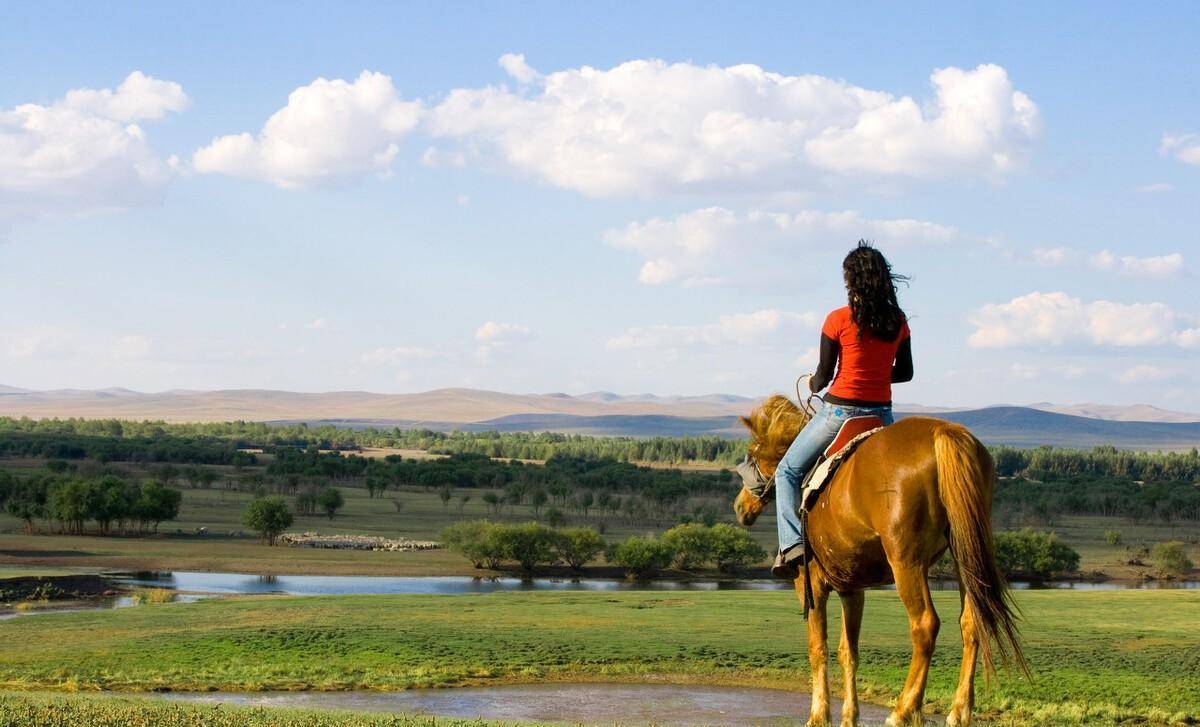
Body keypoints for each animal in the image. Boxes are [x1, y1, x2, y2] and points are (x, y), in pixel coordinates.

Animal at [729, 398, 1022, 727]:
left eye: (753, 456)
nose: (740, 507)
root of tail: (943, 432)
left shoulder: (811, 585)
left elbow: (818, 648)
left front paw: (819, 714)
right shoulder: (851, 589)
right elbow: (848, 652)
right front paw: (849, 716)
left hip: (906, 562)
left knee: (925, 624)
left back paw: (903, 710)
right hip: (965, 556)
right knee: (971, 623)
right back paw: (958, 711)